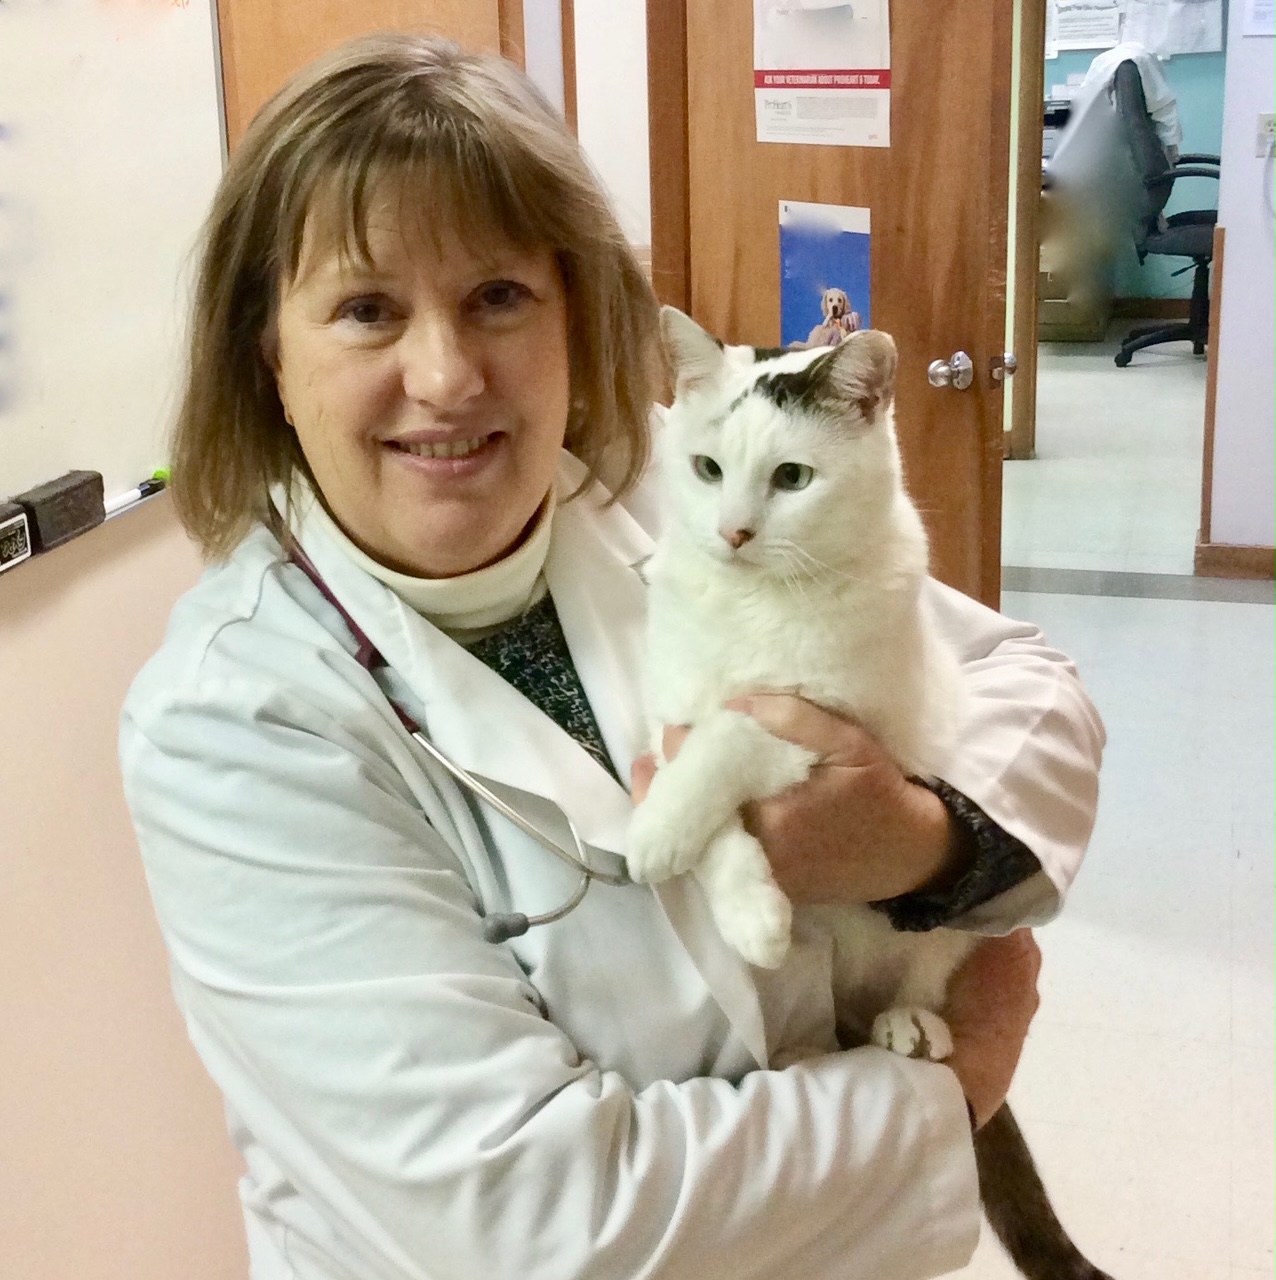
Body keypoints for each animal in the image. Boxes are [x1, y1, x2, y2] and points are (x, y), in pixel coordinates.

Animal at [627, 307, 977, 1059]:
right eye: (707, 469)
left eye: (792, 477)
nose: (733, 532)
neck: (753, 601)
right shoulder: (670, 715)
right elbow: (709, 811)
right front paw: (749, 911)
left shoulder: (825, 712)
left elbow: (727, 740)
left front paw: (659, 826)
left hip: (939, 941)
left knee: (924, 972)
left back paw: (908, 1022)